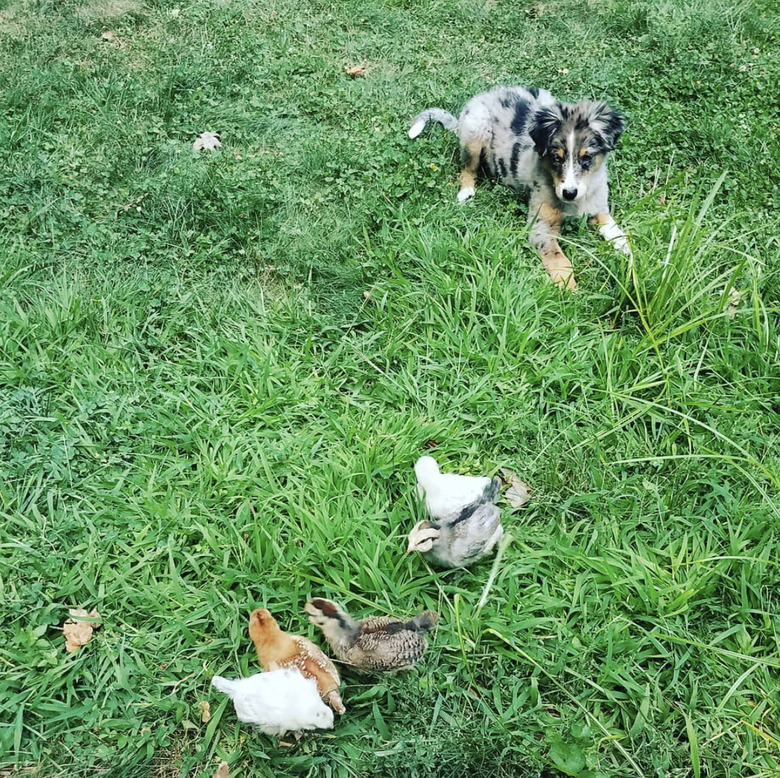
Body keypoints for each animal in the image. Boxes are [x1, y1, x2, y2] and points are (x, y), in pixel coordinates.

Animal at [412, 85, 632, 292]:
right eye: (556, 157)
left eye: (587, 157)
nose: (569, 193)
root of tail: (486, 94)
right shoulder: (540, 226)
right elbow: (558, 258)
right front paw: (569, 289)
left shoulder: (599, 209)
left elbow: (616, 232)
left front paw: (630, 260)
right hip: (476, 130)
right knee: (467, 168)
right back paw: (466, 192)